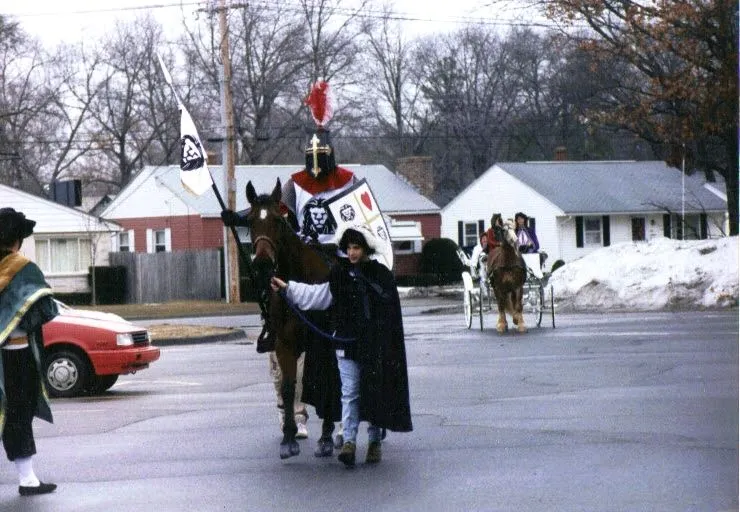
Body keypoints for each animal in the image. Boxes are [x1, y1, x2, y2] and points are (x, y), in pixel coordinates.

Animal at [244, 178, 340, 458]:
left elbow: (327, 384)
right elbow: (288, 387)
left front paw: (326, 437)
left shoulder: (324, 344)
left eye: (278, 220)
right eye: (250, 220)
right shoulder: (284, 344)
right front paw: (288, 437)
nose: (263, 264)